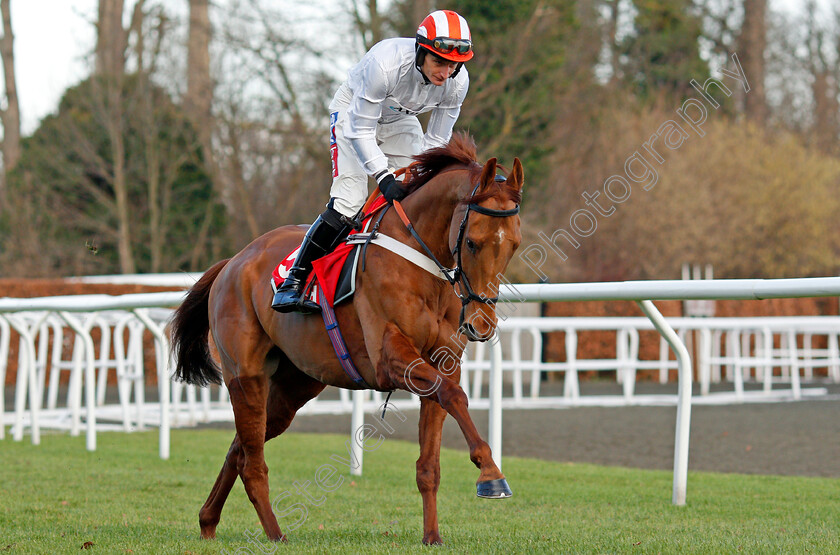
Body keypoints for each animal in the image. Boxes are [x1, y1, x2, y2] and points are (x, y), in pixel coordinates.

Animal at [170, 132, 520, 544]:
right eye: (472, 243)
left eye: (513, 245)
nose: (482, 324)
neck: (418, 260)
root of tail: (234, 261)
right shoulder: (390, 360)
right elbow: (454, 396)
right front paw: (491, 476)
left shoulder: (441, 362)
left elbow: (430, 462)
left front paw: (432, 536)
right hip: (245, 375)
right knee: (253, 463)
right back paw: (275, 534)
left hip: (294, 386)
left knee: (240, 449)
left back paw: (208, 521)